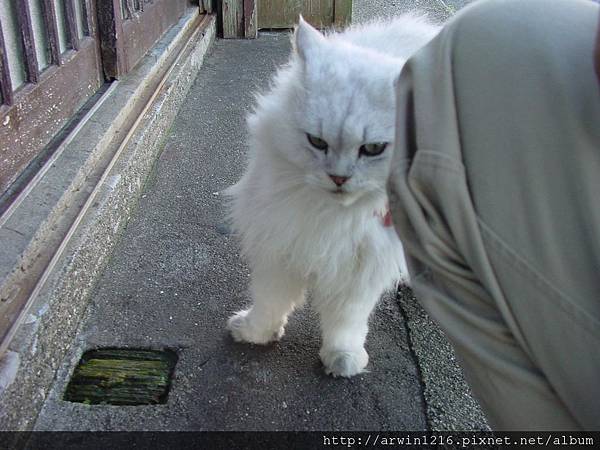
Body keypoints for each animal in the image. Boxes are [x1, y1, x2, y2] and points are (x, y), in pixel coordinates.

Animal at [225, 14, 440, 376]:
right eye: (317, 142)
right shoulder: (280, 245)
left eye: (373, 149)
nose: (339, 178)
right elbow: (269, 300)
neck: (330, 214)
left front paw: (343, 360)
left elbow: (346, 322)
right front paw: (255, 333)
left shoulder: (360, 271)